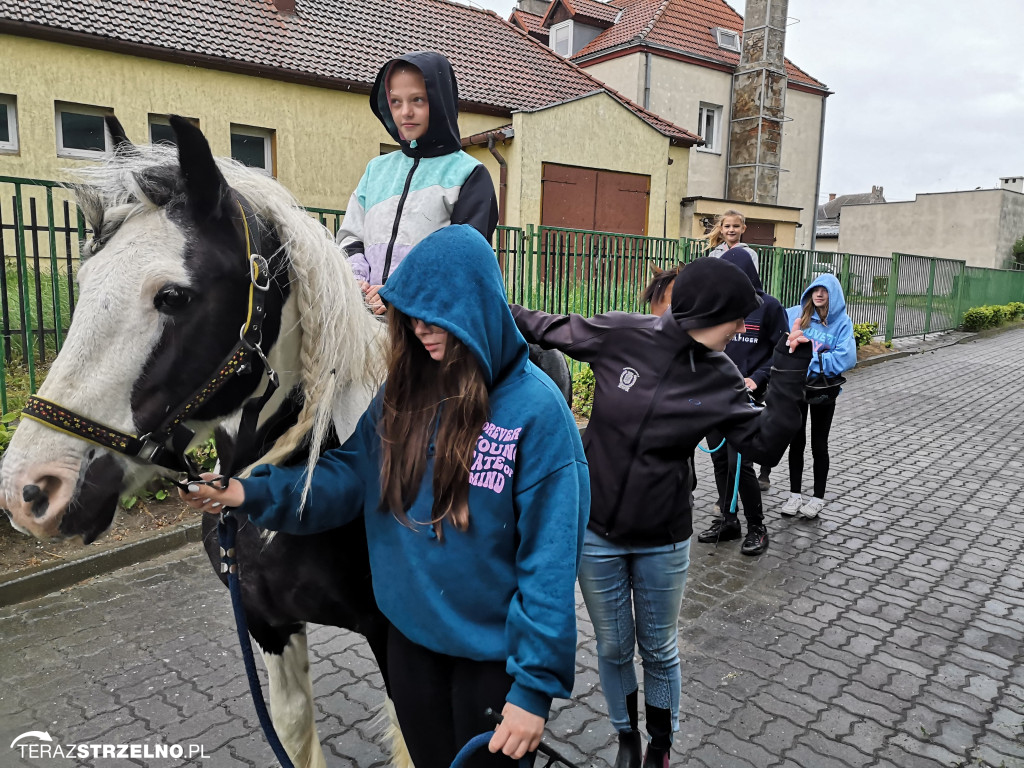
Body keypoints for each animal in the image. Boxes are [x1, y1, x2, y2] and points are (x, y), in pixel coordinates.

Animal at [0, 114, 573, 768]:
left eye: (173, 296)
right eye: (85, 280)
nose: (29, 490)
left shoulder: (397, 641)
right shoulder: (267, 624)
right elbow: (295, 730)